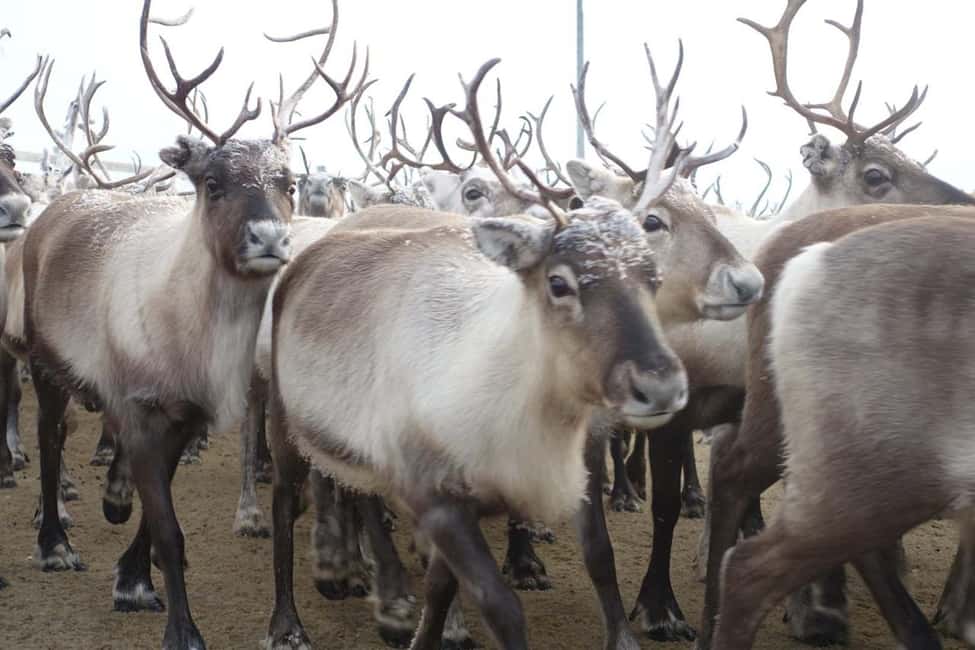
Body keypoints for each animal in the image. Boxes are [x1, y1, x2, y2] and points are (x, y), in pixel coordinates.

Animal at [8, 1, 365, 647]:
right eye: (212, 182)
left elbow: (159, 514)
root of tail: (63, 205)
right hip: (44, 361)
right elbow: (169, 528)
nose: (271, 238)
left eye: (289, 182)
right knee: (50, 438)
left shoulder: (186, 416)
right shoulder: (139, 408)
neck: (195, 339)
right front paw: (180, 627)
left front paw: (131, 576)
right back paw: (55, 542)